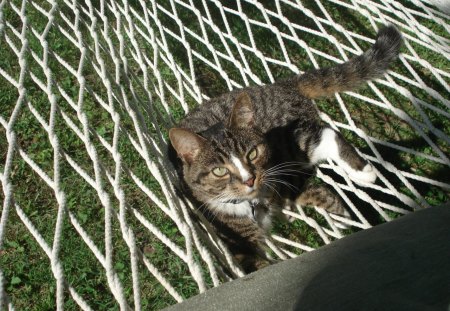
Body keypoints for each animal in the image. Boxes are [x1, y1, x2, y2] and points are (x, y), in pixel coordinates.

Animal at [170, 25, 404, 272]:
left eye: (252, 153)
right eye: (219, 171)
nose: (249, 180)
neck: (252, 204)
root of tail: (278, 86)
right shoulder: (238, 241)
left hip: (286, 144)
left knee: (324, 136)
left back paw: (362, 173)